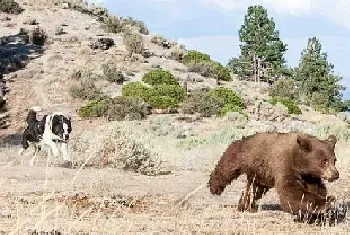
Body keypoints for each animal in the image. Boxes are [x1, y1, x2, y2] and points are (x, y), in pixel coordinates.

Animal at [208, 131, 340, 218]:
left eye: (334, 160)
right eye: (324, 161)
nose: (335, 174)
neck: (298, 159)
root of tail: (244, 138)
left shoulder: (309, 176)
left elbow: (316, 188)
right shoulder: (284, 163)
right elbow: (291, 191)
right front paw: (326, 203)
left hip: (260, 175)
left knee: (254, 191)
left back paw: (245, 206)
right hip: (241, 154)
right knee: (226, 168)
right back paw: (214, 188)